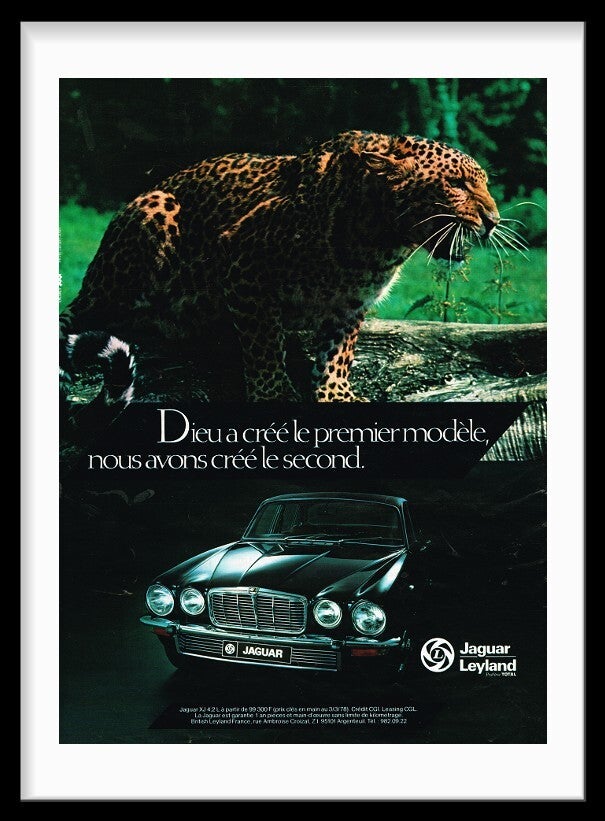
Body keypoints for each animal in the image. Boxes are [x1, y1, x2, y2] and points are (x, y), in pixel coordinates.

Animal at [60, 130, 500, 406]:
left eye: (483, 183)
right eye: (457, 184)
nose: (494, 220)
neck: (380, 239)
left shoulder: (350, 303)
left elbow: (338, 351)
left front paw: (334, 394)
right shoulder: (245, 268)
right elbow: (263, 341)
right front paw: (273, 392)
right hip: (151, 213)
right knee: (82, 316)